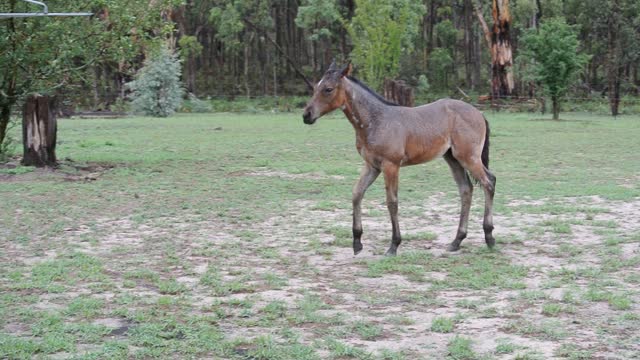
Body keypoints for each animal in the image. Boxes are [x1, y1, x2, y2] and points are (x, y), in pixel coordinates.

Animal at [302, 63, 498, 258]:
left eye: (328, 89)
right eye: (315, 87)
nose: (306, 115)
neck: (376, 120)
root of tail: (478, 113)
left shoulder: (391, 165)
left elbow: (392, 202)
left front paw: (394, 245)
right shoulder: (371, 166)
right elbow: (357, 194)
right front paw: (357, 242)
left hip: (468, 157)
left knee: (488, 182)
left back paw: (489, 237)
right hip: (453, 158)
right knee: (466, 189)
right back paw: (457, 241)